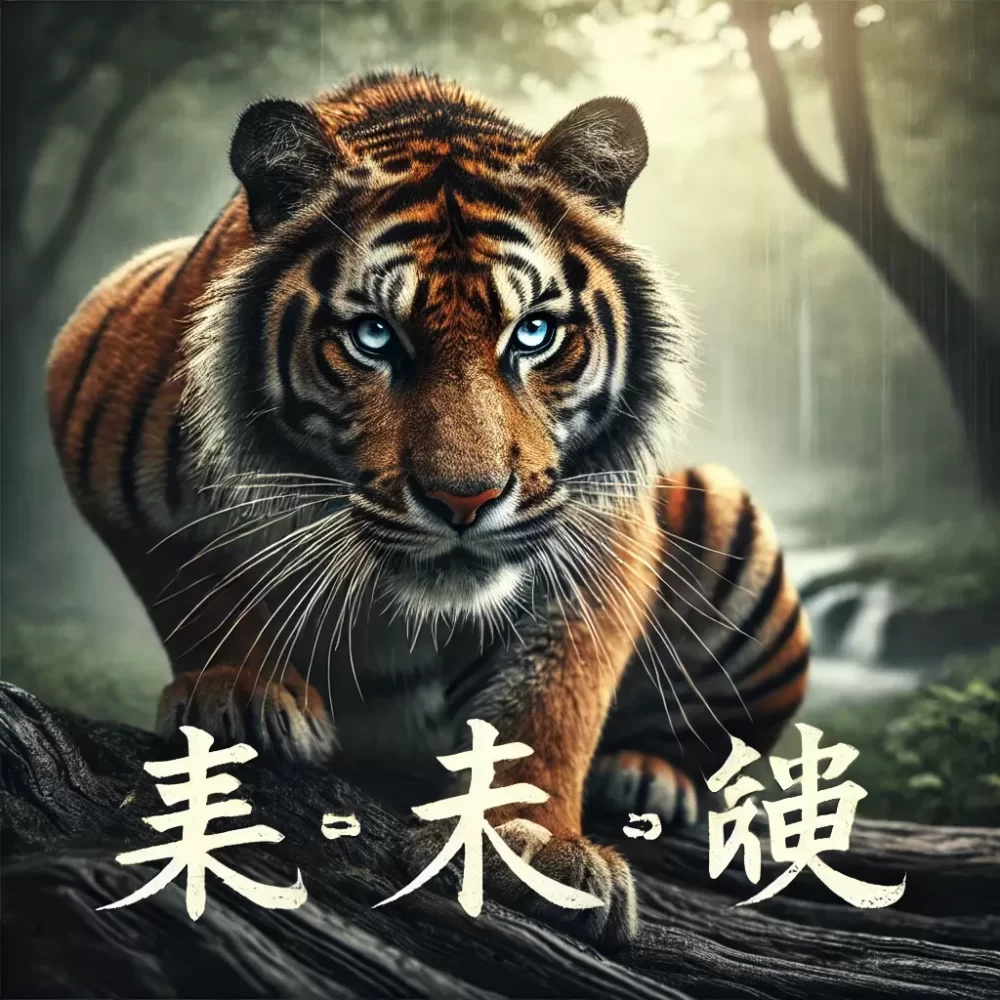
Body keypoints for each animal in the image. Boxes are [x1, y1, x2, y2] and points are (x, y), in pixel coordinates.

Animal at [46, 70, 810, 947]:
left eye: (534, 334)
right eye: (375, 337)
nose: (464, 499)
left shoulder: (601, 524)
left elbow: (555, 695)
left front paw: (524, 843)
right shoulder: (89, 393)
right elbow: (194, 588)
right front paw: (241, 692)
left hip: (722, 510)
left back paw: (649, 776)